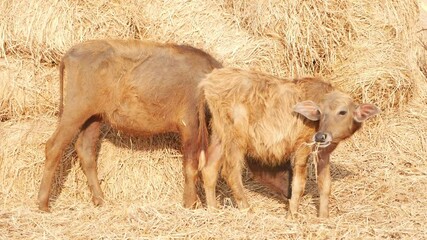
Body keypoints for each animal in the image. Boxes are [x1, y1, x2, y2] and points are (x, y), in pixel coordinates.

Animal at [199, 67, 380, 218]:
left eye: (342, 112)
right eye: (320, 112)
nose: (321, 136)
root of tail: (210, 81)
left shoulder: (323, 153)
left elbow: (325, 185)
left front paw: (323, 217)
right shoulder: (302, 148)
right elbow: (299, 184)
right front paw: (292, 215)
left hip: (219, 136)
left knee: (209, 169)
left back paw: (213, 210)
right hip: (235, 138)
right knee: (230, 172)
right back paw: (248, 211)